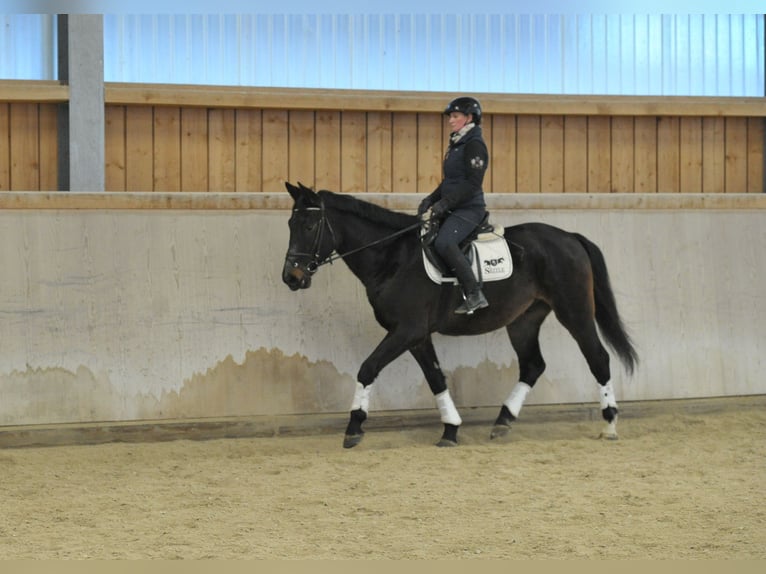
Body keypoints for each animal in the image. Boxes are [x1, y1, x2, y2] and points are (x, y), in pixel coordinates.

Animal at [282, 181, 638, 448]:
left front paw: (354, 427)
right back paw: (503, 421)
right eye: (290, 224)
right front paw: (450, 429)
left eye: (309, 225)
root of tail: (570, 238)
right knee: (533, 365)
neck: (394, 258)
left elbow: (368, 369)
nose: (291, 277)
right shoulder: (416, 336)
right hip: (524, 320)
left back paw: (609, 425)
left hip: (574, 310)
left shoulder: (406, 330)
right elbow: (436, 379)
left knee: (598, 358)